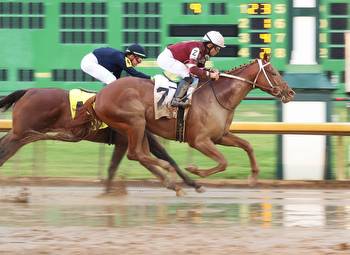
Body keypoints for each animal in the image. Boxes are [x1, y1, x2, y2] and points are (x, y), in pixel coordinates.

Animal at [0, 88, 202, 193]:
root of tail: (28, 91)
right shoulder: (126, 140)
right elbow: (117, 166)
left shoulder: (135, 139)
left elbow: (156, 159)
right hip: (21, 132)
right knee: (5, 149)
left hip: (20, 132)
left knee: (4, 147)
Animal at [73, 55, 296, 189]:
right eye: (274, 72)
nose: (290, 92)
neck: (218, 97)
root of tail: (100, 94)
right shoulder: (199, 140)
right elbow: (223, 162)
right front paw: (195, 170)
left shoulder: (220, 136)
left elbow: (247, 145)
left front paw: (254, 176)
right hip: (134, 122)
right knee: (136, 153)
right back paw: (172, 173)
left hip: (139, 127)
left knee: (141, 154)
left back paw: (172, 179)